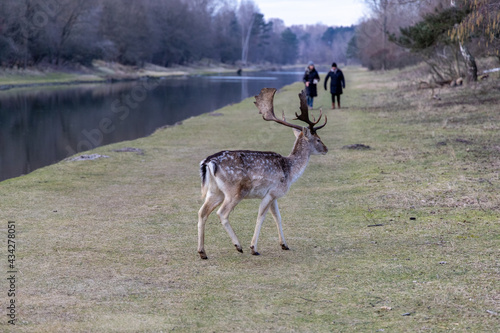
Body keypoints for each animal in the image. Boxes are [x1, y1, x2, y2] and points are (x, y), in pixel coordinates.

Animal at [197, 87, 330, 258]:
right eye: (318, 139)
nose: (326, 149)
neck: (290, 171)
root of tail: (208, 162)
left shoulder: (274, 195)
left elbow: (278, 217)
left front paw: (284, 245)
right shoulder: (272, 192)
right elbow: (261, 217)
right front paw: (254, 248)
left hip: (215, 191)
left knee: (202, 212)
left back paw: (202, 252)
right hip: (235, 191)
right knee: (222, 213)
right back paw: (238, 245)